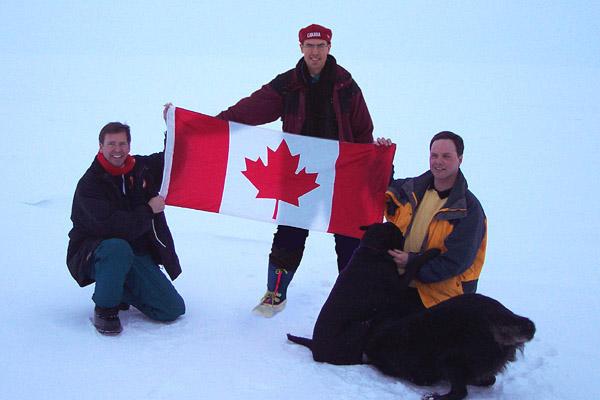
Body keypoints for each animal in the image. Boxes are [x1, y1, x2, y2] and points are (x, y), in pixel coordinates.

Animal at [288, 223, 440, 364]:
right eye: (400, 235)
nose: (404, 238)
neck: (372, 249)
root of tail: (314, 346)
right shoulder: (398, 286)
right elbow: (414, 264)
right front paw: (431, 252)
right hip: (360, 326)